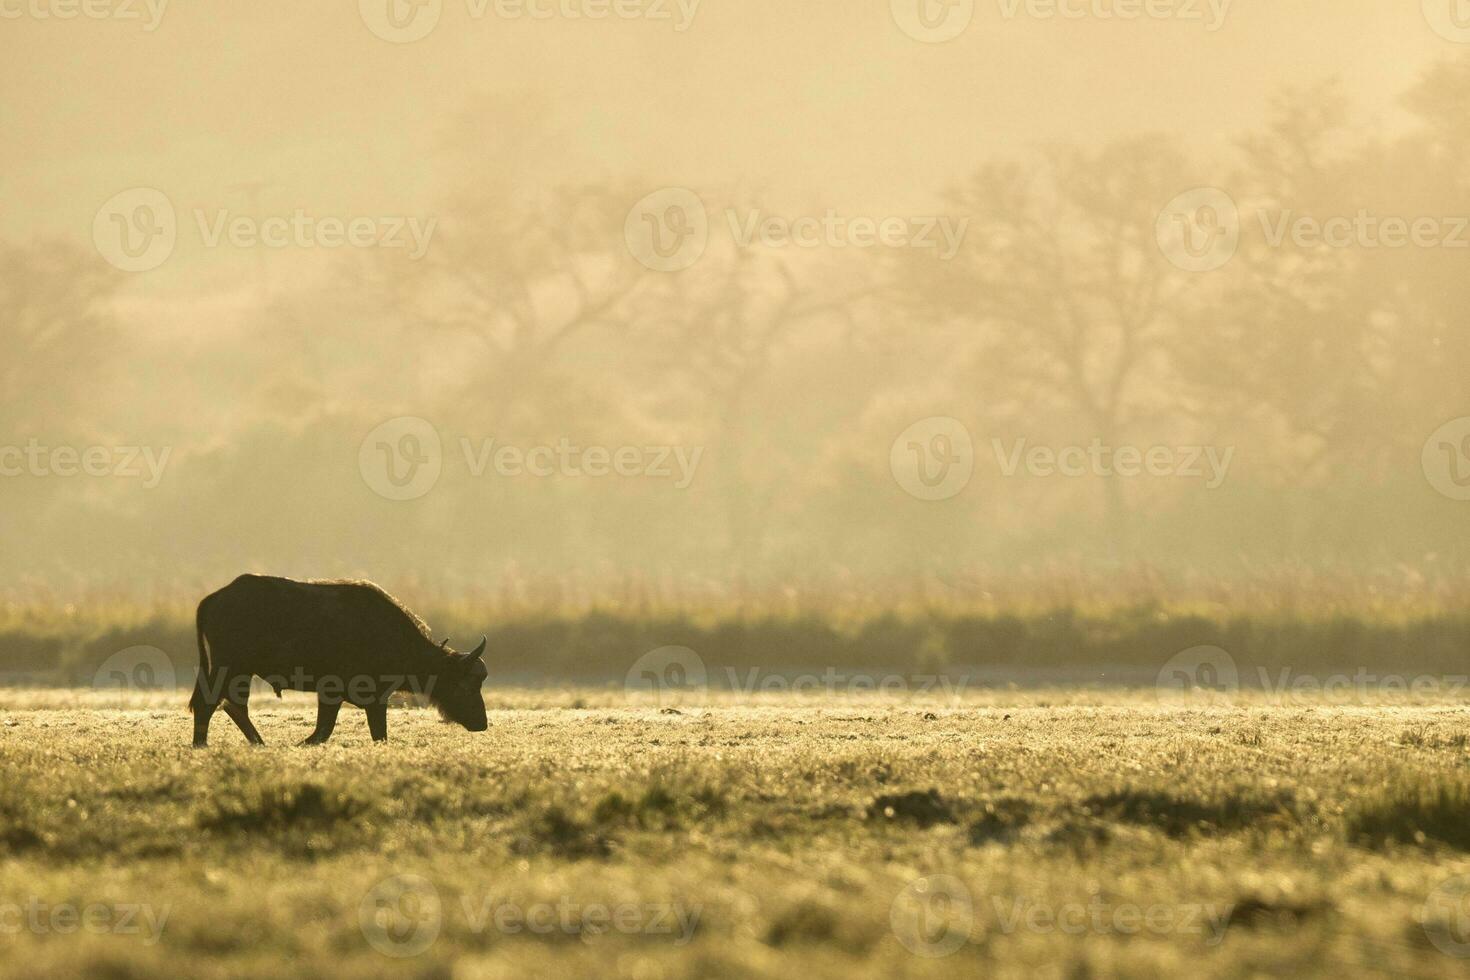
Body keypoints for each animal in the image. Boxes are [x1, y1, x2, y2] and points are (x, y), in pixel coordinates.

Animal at [186, 570, 488, 746]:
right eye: (465, 684)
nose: (482, 723)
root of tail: (215, 598)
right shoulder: (355, 695)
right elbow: (332, 731)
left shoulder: (349, 697)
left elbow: (336, 729)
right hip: (230, 667)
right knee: (212, 703)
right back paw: (206, 744)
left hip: (238, 671)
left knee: (233, 705)